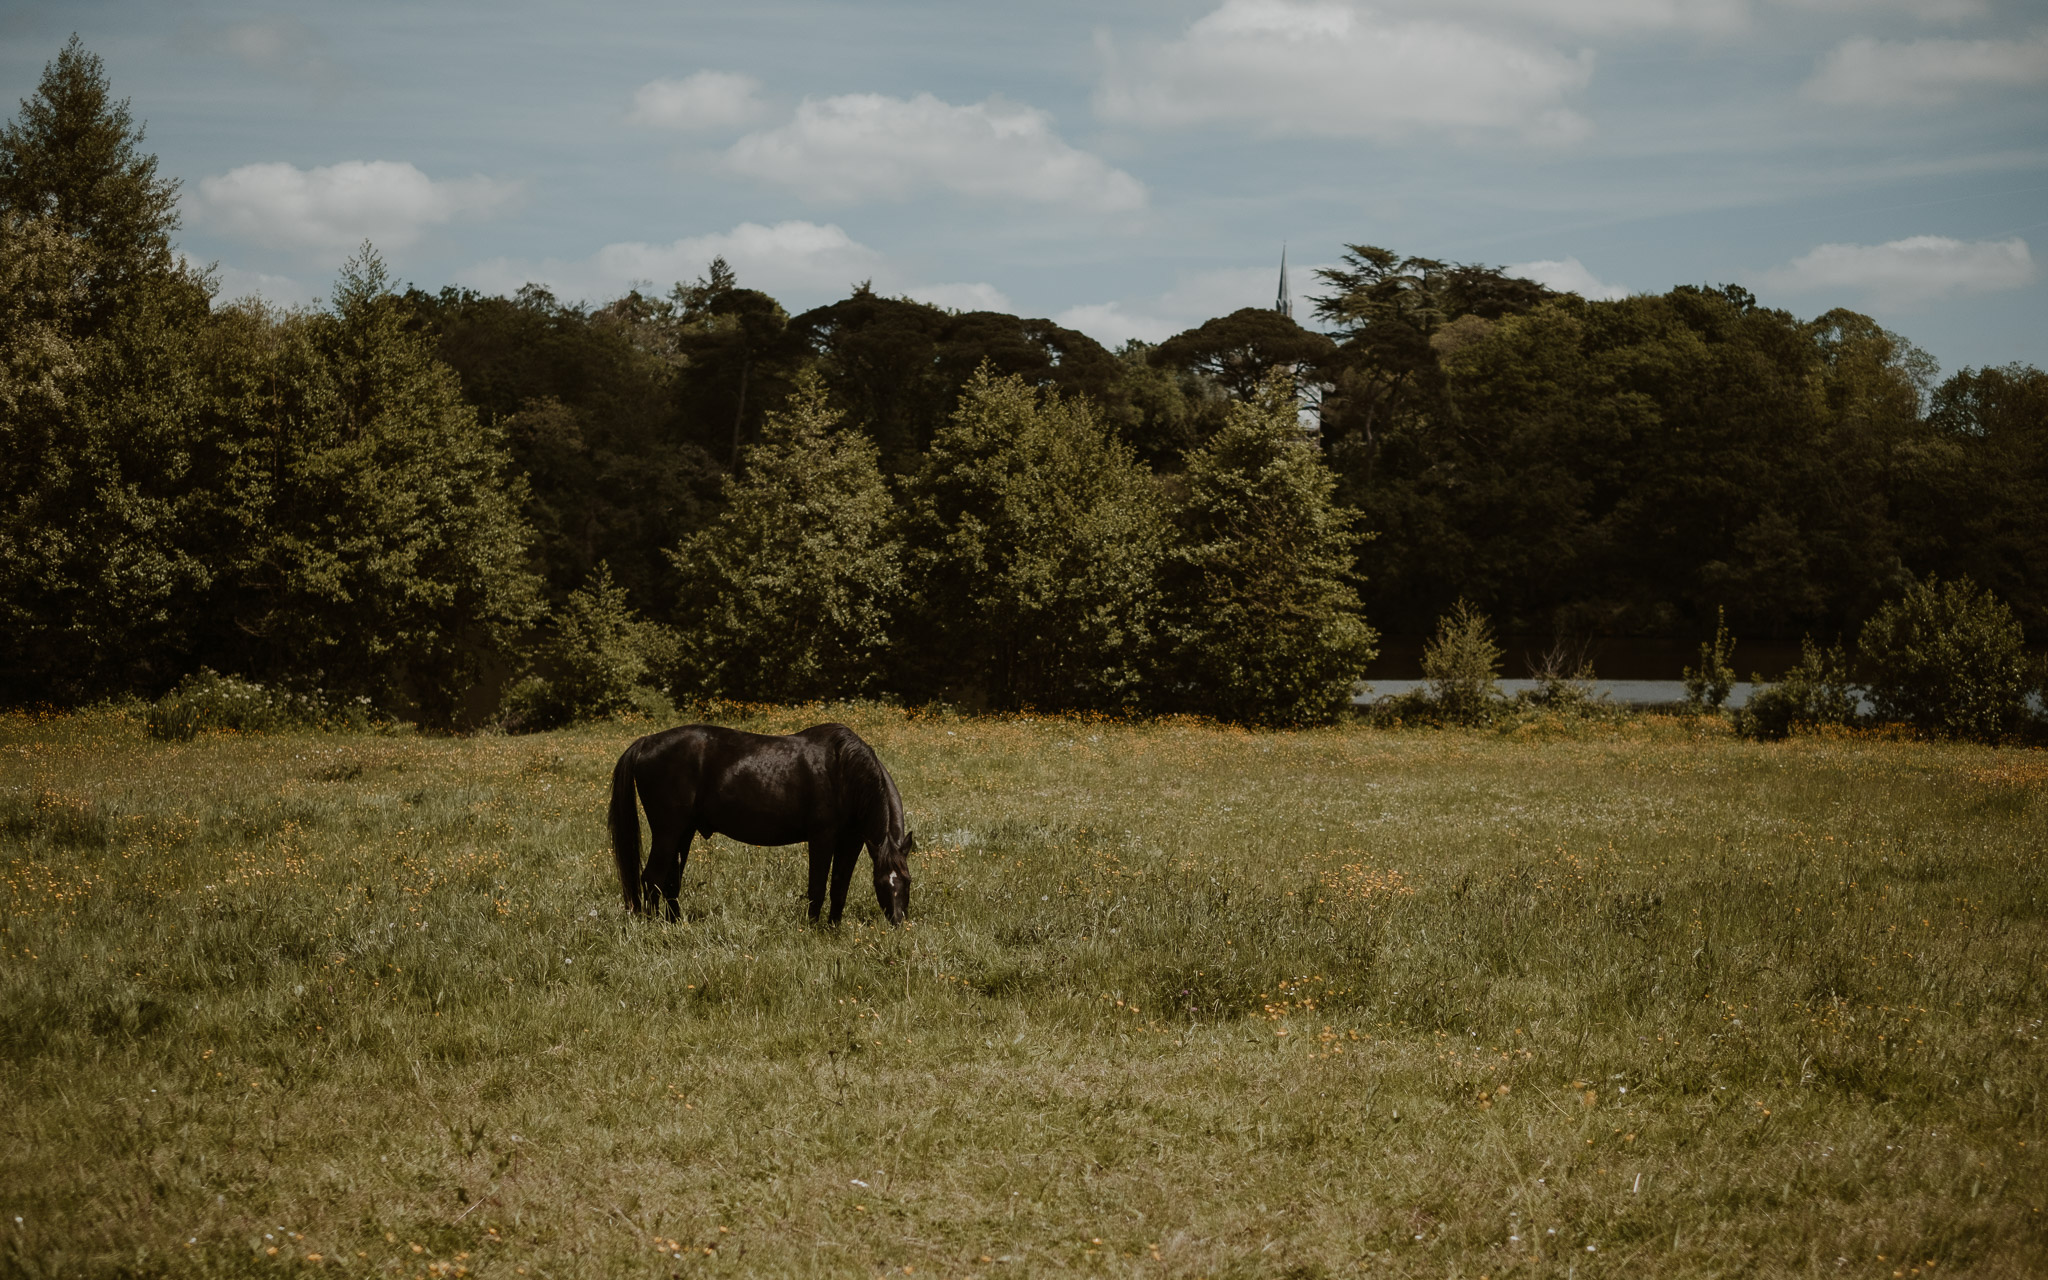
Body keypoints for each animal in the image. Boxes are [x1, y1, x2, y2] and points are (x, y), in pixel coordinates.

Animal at [602, 724, 917, 921]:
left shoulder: (852, 842)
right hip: (667, 831)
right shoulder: (822, 838)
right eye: (881, 883)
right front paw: (813, 929)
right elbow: (817, 887)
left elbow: (839, 887)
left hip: (684, 832)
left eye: (907, 881)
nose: (898, 921)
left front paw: (833, 928)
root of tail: (645, 742)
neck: (843, 769)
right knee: (652, 878)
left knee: (670, 881)